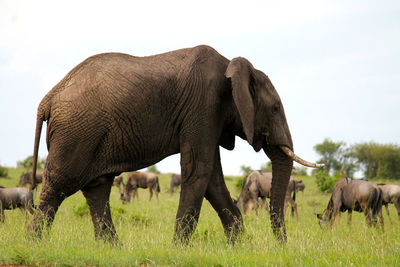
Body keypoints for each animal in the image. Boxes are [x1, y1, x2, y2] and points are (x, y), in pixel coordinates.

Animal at [28, 45, 322, 246]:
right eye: (275, 108)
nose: (281, 245)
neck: (230, 66)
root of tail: (49, 98)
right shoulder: (203, 106)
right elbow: (199, 171)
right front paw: (179, 248)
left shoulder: (210, 117)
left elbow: (213, 178)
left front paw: (239, 246)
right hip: (76, 133)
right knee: (59, 185)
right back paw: (35, 244)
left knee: (97, 188)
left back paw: (113, 249)